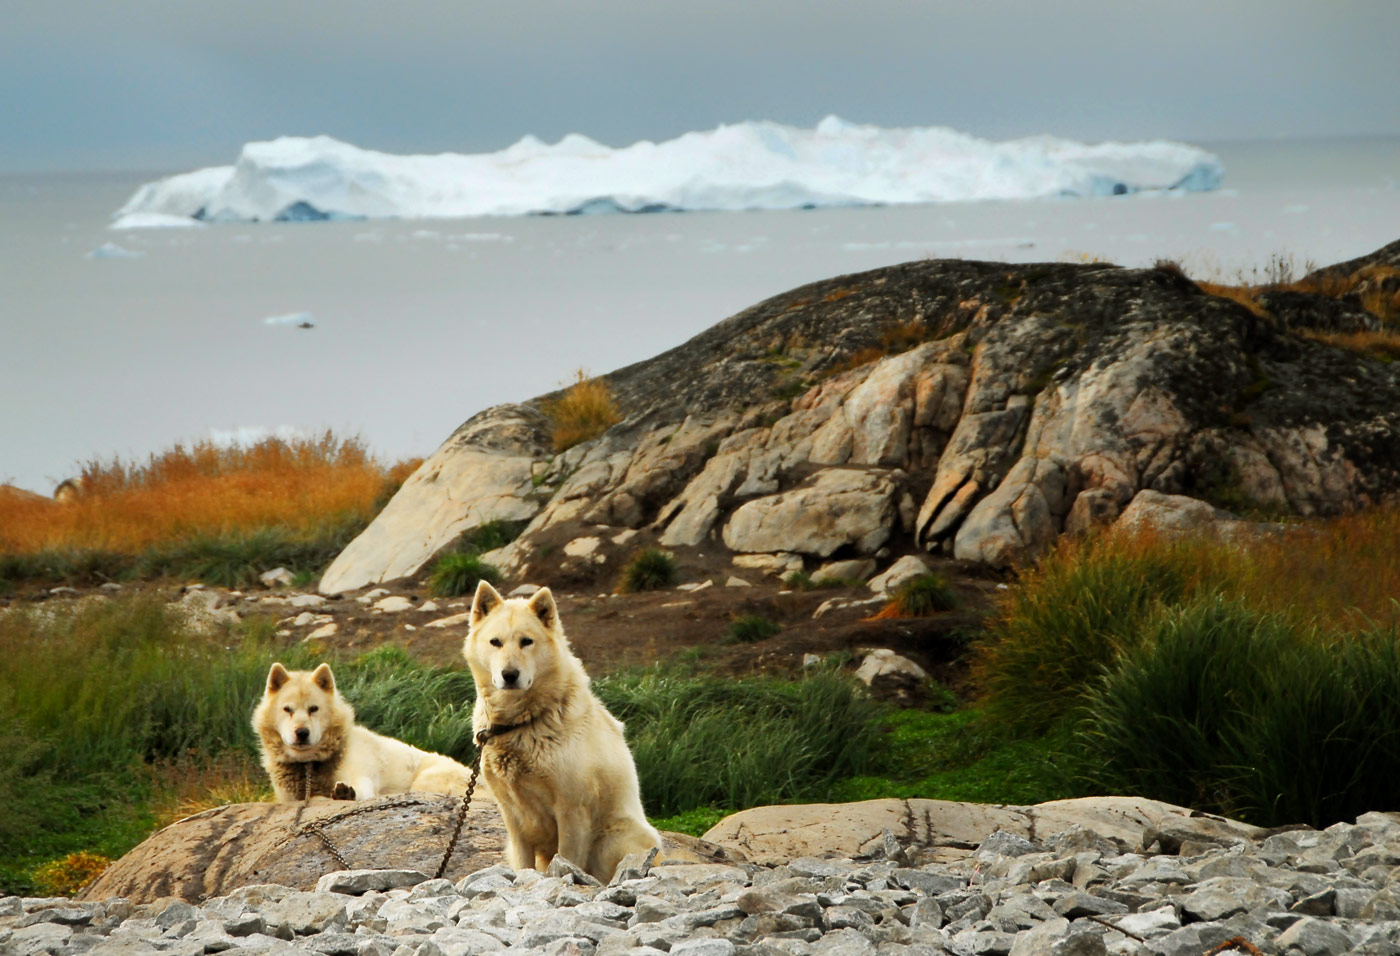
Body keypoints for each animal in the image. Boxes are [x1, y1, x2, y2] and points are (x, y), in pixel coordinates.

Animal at [259, 660, 481, 806]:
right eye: (287, 709)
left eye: (314, 708)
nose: (302, 733)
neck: (312, 764)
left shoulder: (361, 769)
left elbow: (362, 786)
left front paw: (345, 792)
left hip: (429, 779)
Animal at [464, 576, 660, 884]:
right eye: (495, 642)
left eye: (526, 641)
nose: (510, 675)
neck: (523, 722)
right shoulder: (513, 817)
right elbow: (524, 864)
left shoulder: (572, 810)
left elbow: (567, 859)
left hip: (613, 840)